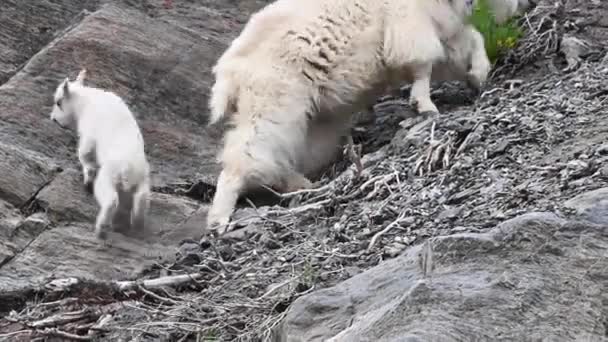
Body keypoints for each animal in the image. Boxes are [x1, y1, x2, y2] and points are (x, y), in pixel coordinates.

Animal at [48, 70, 151, 240]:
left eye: (58, 102)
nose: (53, 119)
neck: (84, 102)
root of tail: (128, 170)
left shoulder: (88, 135)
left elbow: (85, 154)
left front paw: (87, 178)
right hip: (142, 181)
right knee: (141, 199)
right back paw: (136, 226)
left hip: (108, 177)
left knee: (111, 199)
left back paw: (101, 228)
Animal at [204, 0, 484, 232]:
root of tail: (229, 72)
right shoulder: (410, 23)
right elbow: (422, 63)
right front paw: (425, 105)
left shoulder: (444, 28)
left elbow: (469, 42)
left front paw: (479, 76)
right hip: (273, 102)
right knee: (249, 154)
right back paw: (219, 219)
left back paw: (302, 183)